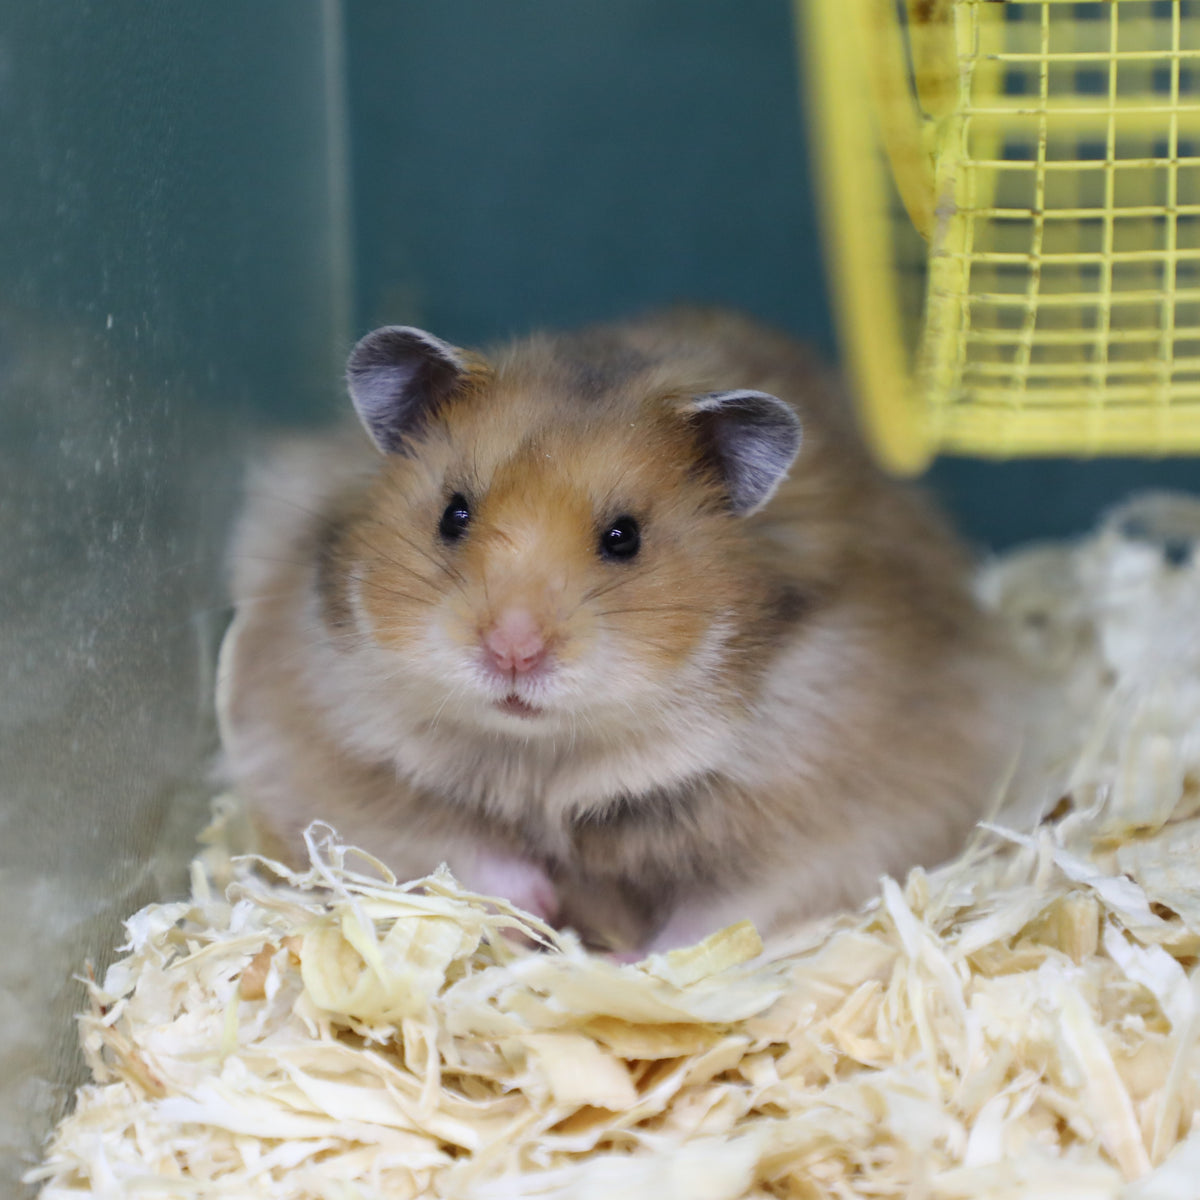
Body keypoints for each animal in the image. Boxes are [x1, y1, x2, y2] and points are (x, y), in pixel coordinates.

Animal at [217, 308, 1020, 953]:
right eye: (454, 514)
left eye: (624, 537)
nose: (512, 650)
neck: (550, 762)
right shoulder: (323, 756)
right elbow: (447, 845)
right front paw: (536, 910)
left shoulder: (843, 809)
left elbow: (727, 909)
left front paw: (634, 962)